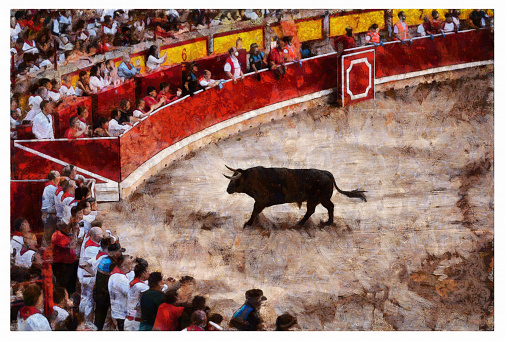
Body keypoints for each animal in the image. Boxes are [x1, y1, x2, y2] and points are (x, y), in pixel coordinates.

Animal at [224, 166, 366, 227]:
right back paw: (327, 222)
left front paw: (248, 223)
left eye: (235, 180)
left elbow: (254, 212)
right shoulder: (259, 202)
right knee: (328, 207)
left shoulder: (260, 201)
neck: (252, 179)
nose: (227, 190)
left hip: (316, 199)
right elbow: (255, 212)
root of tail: (327, 173)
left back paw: (302, 223)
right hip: (321, 199)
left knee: (314, 210)